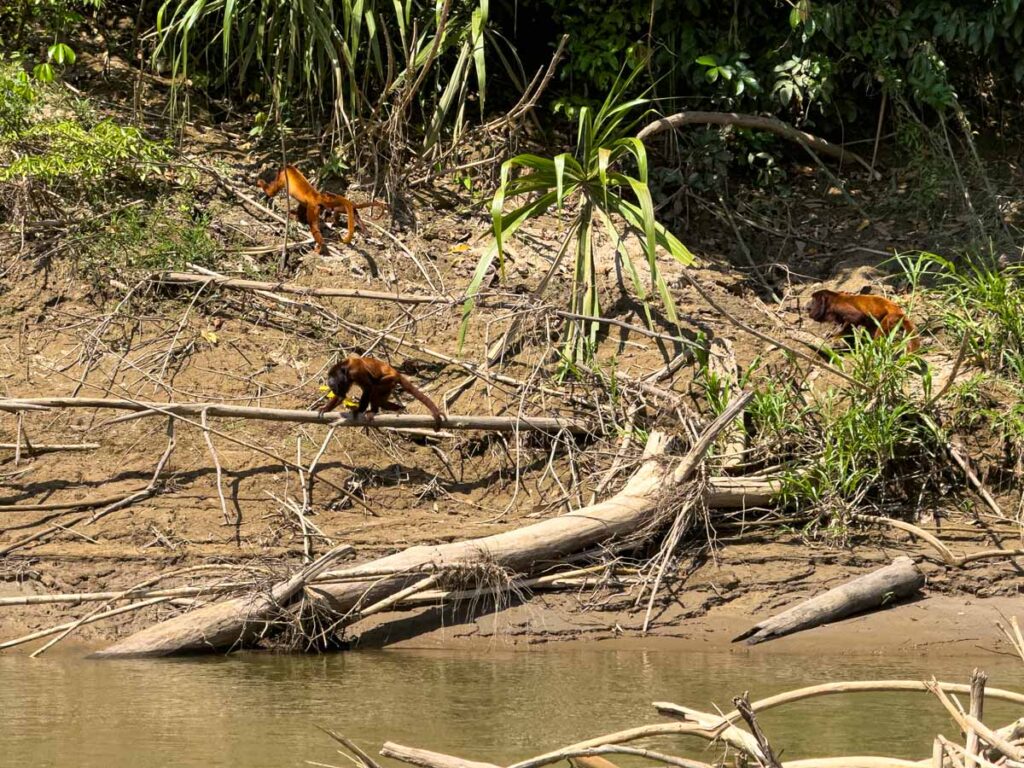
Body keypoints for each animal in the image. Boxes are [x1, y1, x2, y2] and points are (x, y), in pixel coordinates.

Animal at [256, 166, 386, 253]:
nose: (275, 172)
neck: (289, 168)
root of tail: (316, 195)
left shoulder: (282, 177)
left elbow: (271, 192)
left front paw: (260, 183)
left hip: (313, 207)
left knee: (313, 226)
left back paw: (320, 245)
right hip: (315, 205)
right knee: (304, 207)